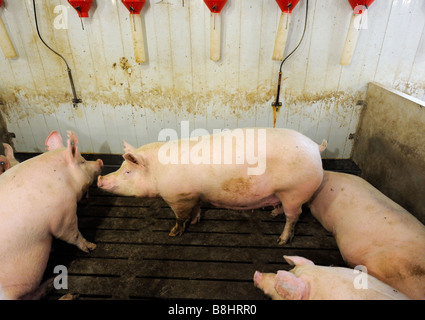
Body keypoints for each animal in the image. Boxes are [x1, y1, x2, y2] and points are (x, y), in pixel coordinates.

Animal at [0, 131, 102, 300]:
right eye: (82, 161)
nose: (100, 161)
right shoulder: (62, 215)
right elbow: (72, 234)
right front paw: (91, 247)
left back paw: (53, 282)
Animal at [97, 127, 326, 245]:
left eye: (127, 172)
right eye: (121, 167)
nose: (100, 179)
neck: (158, 171)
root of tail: (316, 147)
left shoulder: (177, 197)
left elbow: (180, 217)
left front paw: (173, 233)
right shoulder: (193, 194)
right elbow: (196, 208)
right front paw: (196, 220)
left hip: (294, 192)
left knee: (294, 216)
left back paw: (281, 240)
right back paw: (272, 213)